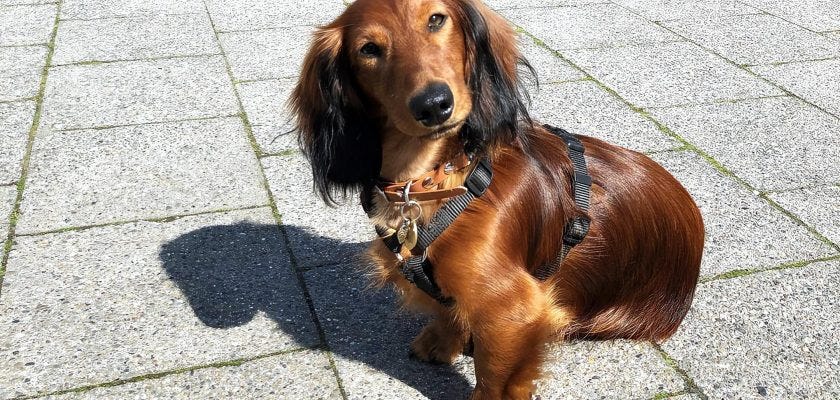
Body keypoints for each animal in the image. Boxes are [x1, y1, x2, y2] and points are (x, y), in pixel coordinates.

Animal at [292, 1, 704, 398]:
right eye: (369, 49)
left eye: (436, 20)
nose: (434, 104)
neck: (435, 180)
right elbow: (450, 310)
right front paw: (444, 340)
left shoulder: (514, 311)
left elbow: (493, 375)